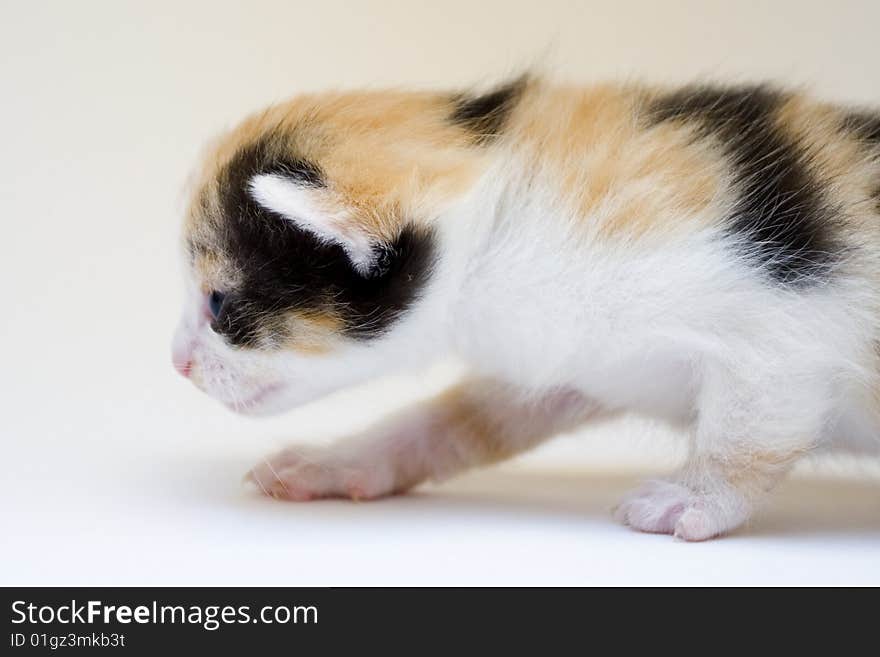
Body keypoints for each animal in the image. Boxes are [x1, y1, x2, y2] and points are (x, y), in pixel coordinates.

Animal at [172, 77, 880, 540]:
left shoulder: (781, 324)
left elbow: (751, 424)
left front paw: (694, 499)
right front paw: (339, 462)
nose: (177, 363)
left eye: (219, 302)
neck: (495, 211)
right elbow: (459, 419)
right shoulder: (566, 353)